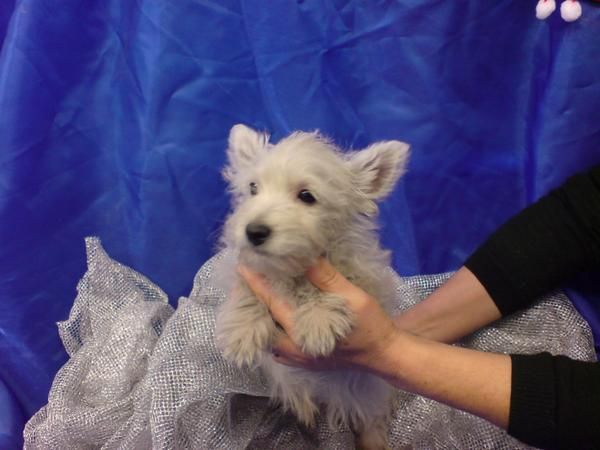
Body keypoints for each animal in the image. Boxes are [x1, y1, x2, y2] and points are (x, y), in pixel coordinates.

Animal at [218, 124, 410, 450]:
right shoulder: (247, 267)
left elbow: (334, 283)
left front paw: (319, 320)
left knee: (369, 414)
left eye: (307, 196)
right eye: (253, 188)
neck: (291, 271)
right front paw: (242, 330)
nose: (254, 231)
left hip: (368, 389)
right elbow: (248, 287)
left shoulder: (363, 276)